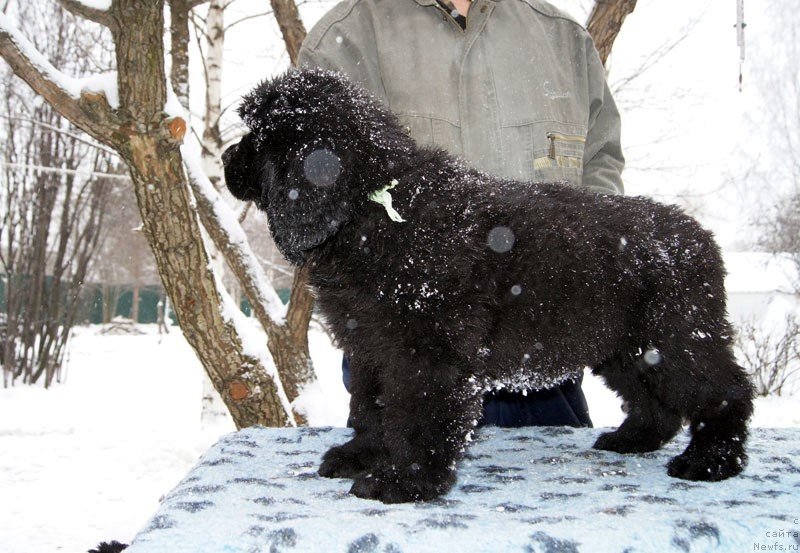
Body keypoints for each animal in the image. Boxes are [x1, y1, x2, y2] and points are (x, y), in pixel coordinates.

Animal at [222, 70, 752, 504]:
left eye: (258, 139)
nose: (226, 156)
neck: (372, 203)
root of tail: (701, 238)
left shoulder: (426, 352)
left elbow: (417, 417)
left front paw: (404, 482)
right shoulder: (372, 344)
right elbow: (372, 407)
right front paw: (362, 456)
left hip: (674, 336)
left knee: (725, 389)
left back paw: (711, 461)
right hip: (625, 348)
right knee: (654, 401)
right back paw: (632, 439)